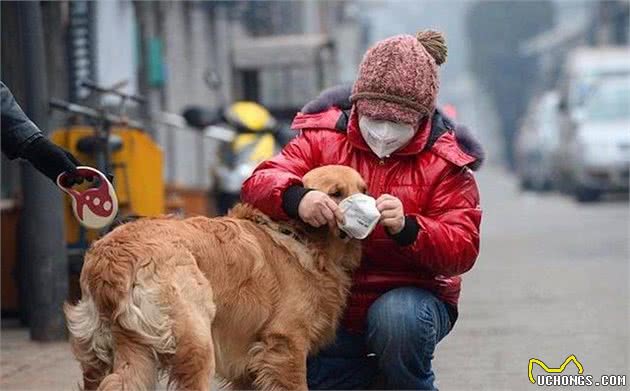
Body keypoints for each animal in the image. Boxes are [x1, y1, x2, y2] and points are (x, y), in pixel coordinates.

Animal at [64, 165, 366, 391]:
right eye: (335, 194)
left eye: (362, 189)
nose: (371, 201)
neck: (300, 237)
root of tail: (110, 259)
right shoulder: (285, 344)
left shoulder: (249, 365)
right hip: (195, 341)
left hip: (102, 355)